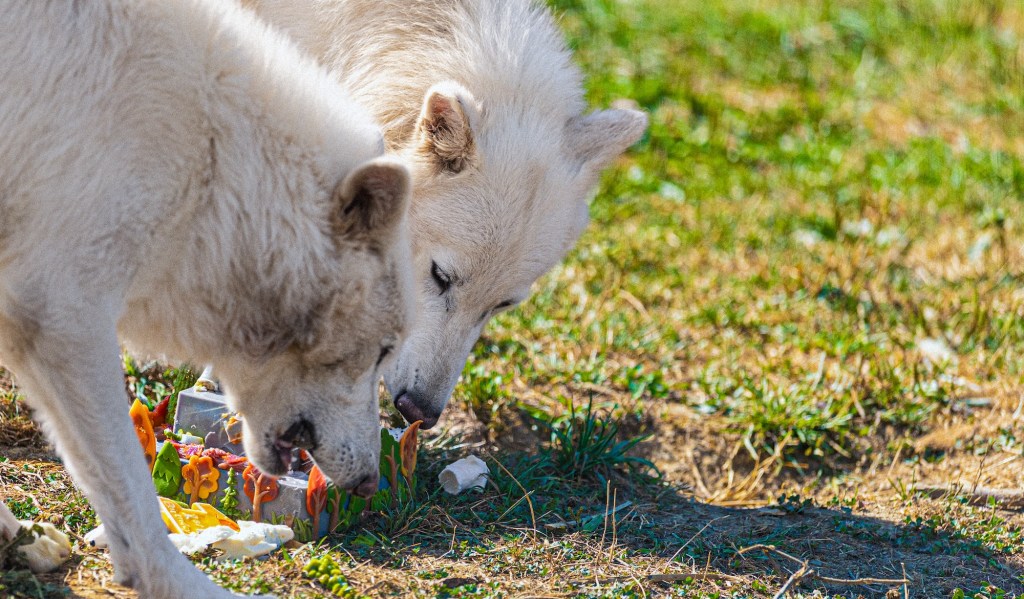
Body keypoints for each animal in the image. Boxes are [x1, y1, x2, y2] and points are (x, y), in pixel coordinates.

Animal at [0, 1, 413, 597]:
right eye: (383, 351)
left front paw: (21, 541)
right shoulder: (64, 318)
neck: (220, 164)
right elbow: (130, 487)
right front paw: (177, 582)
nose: (367, 483)